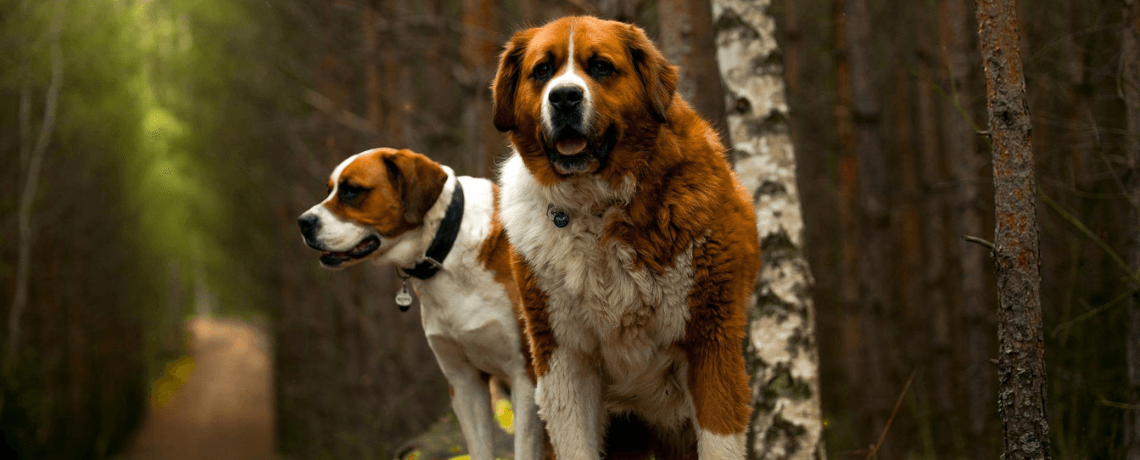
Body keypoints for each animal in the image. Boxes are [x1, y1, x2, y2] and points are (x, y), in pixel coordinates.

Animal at [296, 146, 540, 459]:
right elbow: (480, 448)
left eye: (351, 191)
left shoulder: (525, 376)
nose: (302, 222)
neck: (446, 250)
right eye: (330, 191)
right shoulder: (464, 381)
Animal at [487, 16, 756, 457]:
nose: (564, 97)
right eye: (542, 71)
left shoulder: (711, 340)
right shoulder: (562, 354)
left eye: (601, 67)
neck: (597, 207)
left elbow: (719, 440)